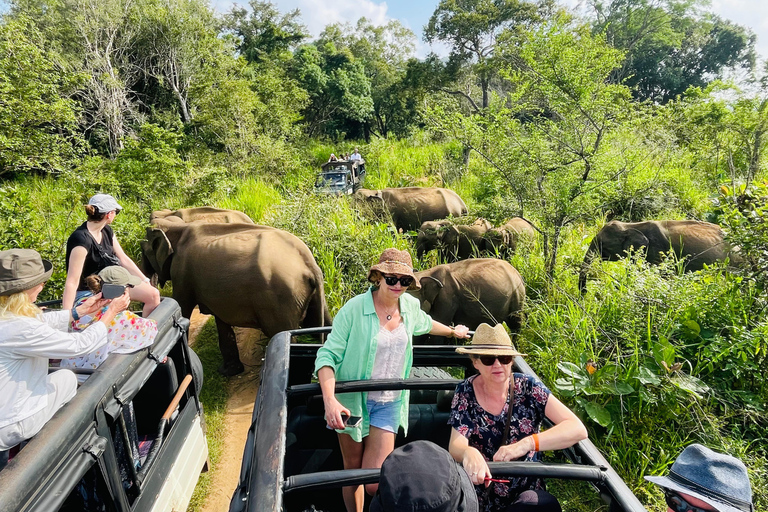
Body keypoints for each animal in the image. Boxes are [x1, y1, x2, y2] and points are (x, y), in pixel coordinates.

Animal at [141, 222, 330, 374]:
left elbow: (182, 309)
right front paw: (229, 372)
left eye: (143, 252)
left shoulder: (181, 274)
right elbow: (221, 320)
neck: (177, 227)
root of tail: (310, 265)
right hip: (309, 295)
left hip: (279, 300)